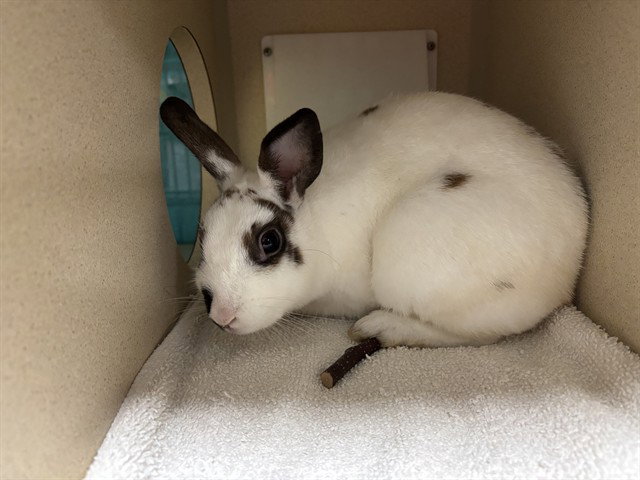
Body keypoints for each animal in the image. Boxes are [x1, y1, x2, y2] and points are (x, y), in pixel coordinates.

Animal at [160, 92, 588, 348]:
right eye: (203, 236)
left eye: (270, 241)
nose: (221, 315)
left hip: (409, 256)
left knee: (476, 335)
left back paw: (378, 327)